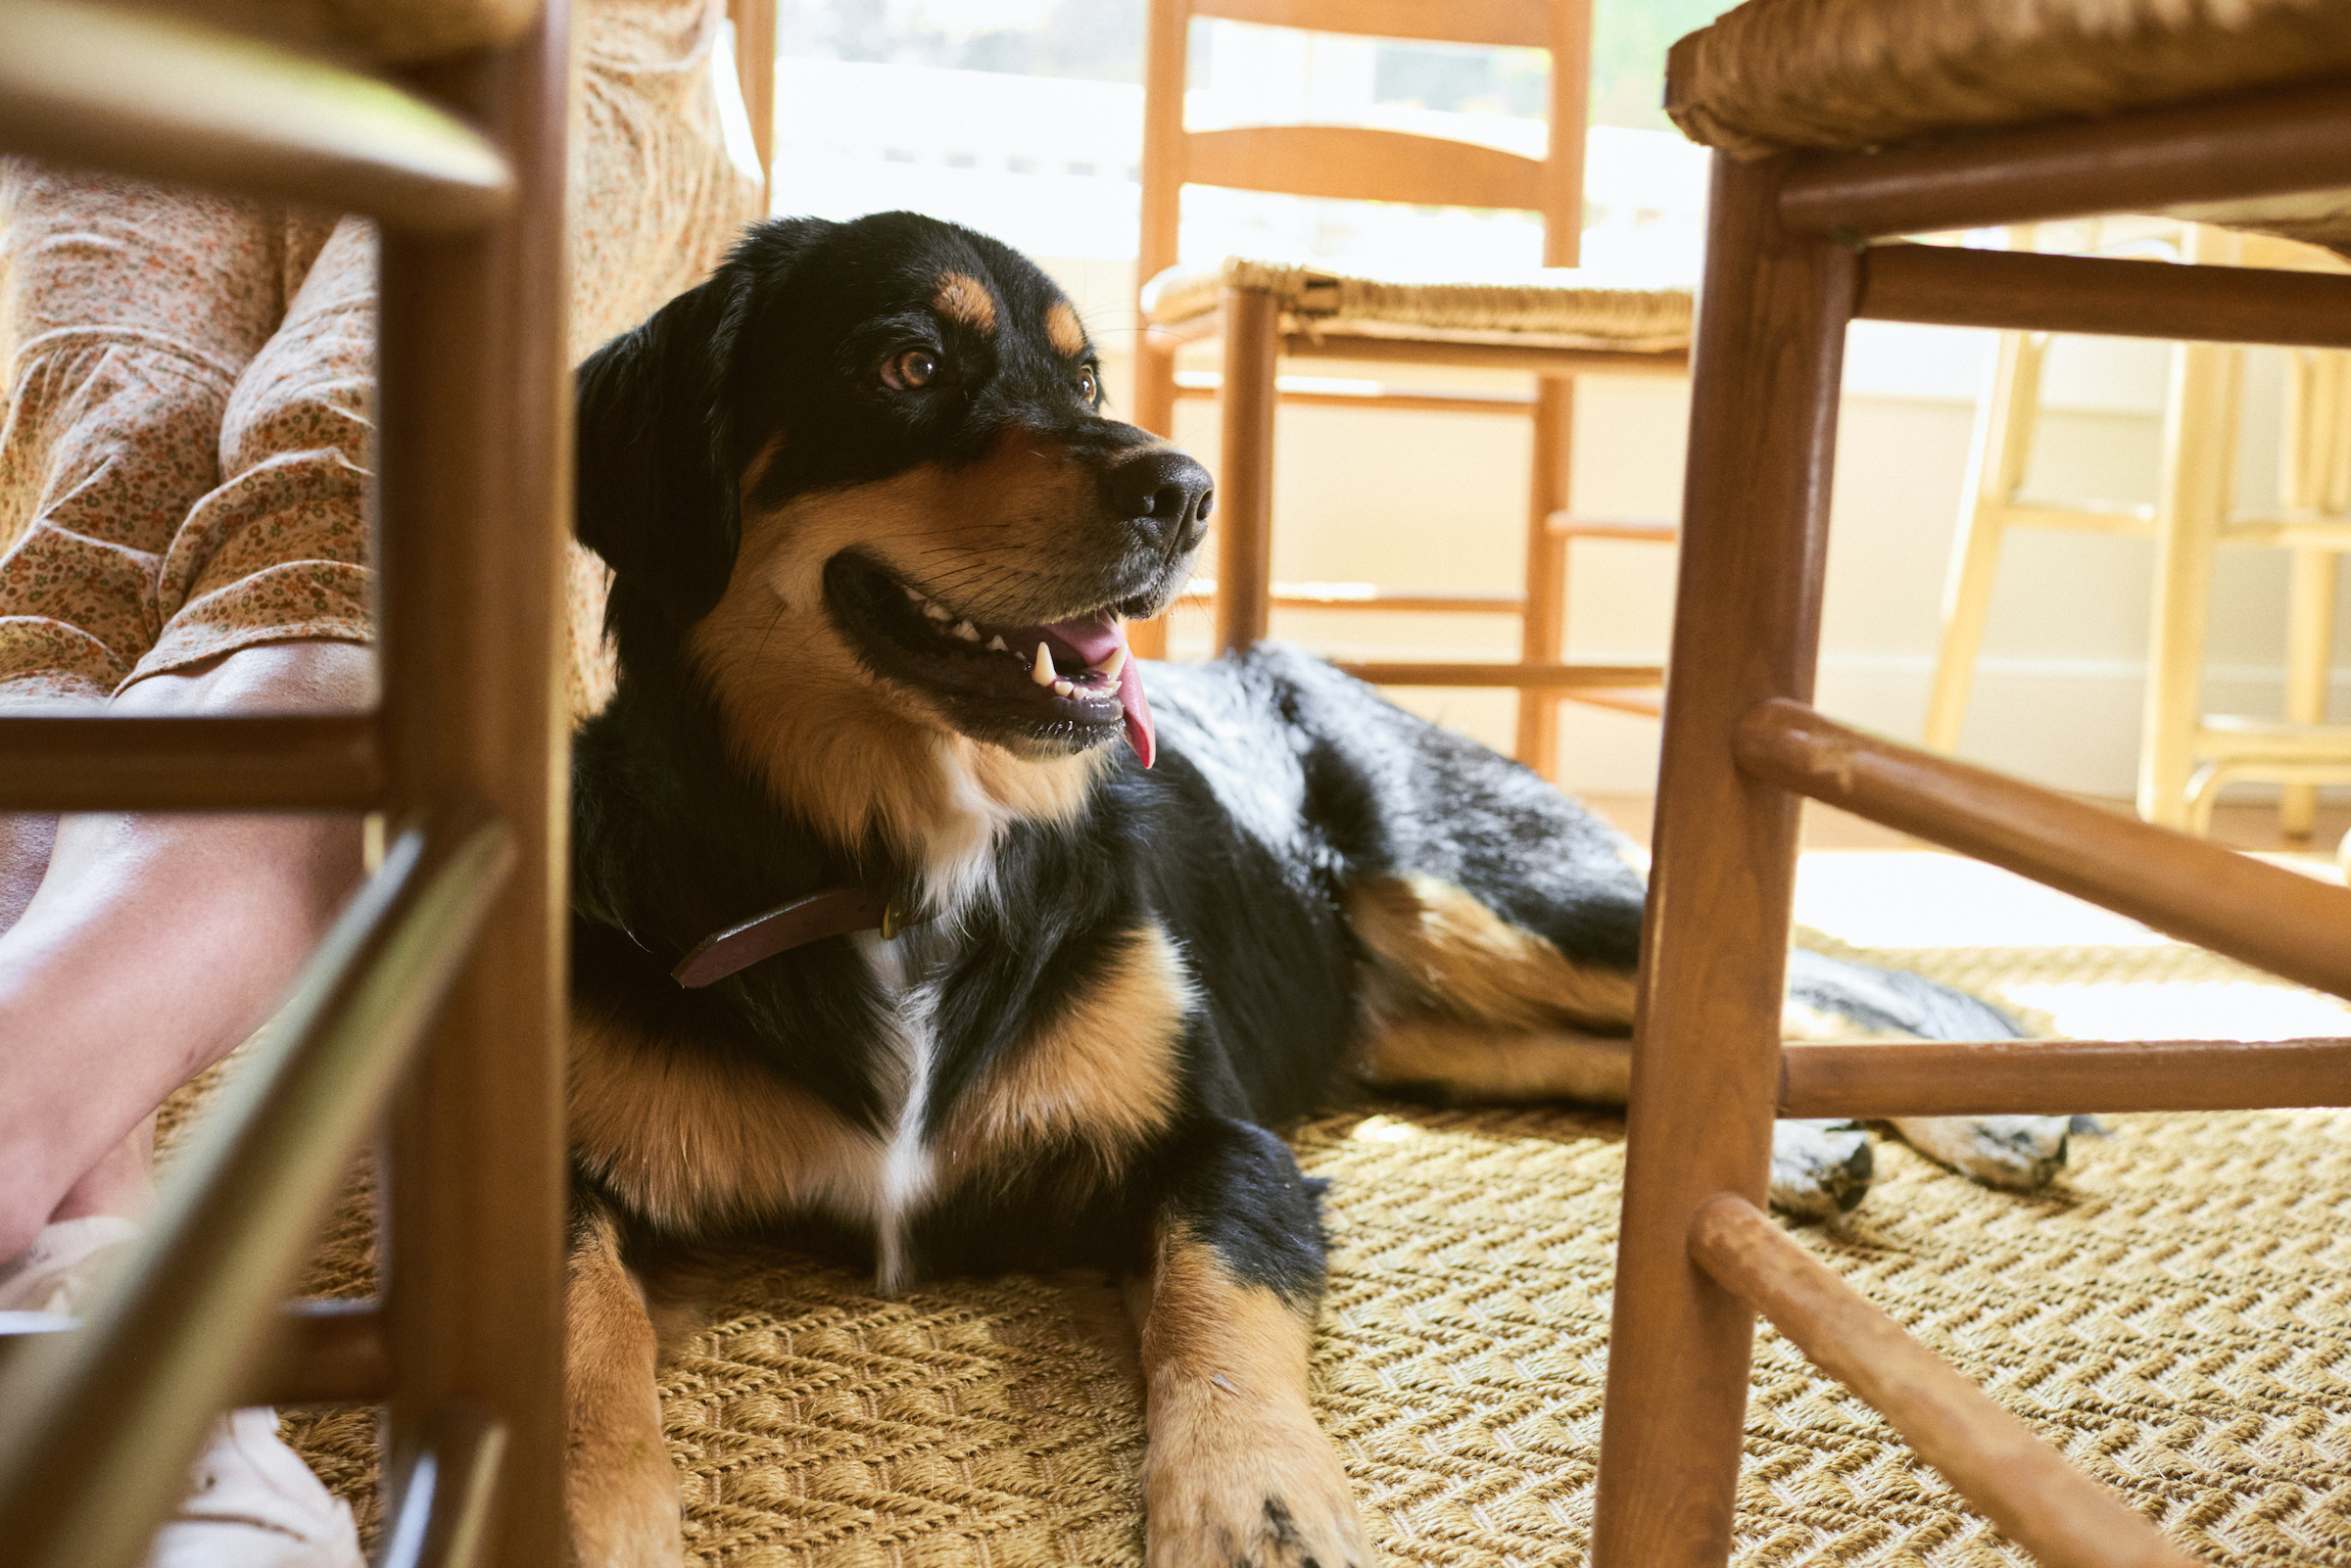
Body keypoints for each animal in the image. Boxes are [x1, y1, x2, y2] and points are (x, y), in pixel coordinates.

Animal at [559, 212, 2069, 1568]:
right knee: (1617, 1050)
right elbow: (580, 1324)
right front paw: (585, 1515)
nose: (1184, 491)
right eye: (908, 364)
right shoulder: (569, 1173)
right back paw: (1811, 1153)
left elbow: (1215, 1301)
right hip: (1419, 1011)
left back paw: (1996, 1112)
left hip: (1486, 895)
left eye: (1087, 381)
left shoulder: (1222, 1141)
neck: (891, 870)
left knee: (1803, 975)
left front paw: (1257, 1502)